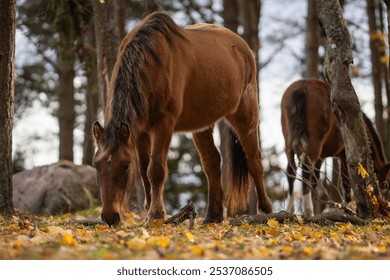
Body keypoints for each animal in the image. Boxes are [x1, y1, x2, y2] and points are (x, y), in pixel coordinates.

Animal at [91, 12, 272, 225]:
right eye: (96, 164)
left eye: (126, 165)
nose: (109, 216)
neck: (152, 62)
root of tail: (243, 46)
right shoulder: (141, 131)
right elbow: (144, 170)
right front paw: (150, 210)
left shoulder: (164, 125)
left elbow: (155, 170)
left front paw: (155, 214)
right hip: (202, 123)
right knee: (212, 161)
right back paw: (213, 215)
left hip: (246, 115)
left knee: (254, 160)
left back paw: (266, 210)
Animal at [280, 79, 390, 217]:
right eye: (385, 185)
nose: (386, 204)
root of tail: (302, 88)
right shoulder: (343, 156)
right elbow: (346, 183)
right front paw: (348, 209)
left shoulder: (321, 157)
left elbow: (314, 180)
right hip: (314, 143)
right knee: (305, 168)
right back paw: (308, 210)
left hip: (288, 142)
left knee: (291, 170)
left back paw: (290, 208)